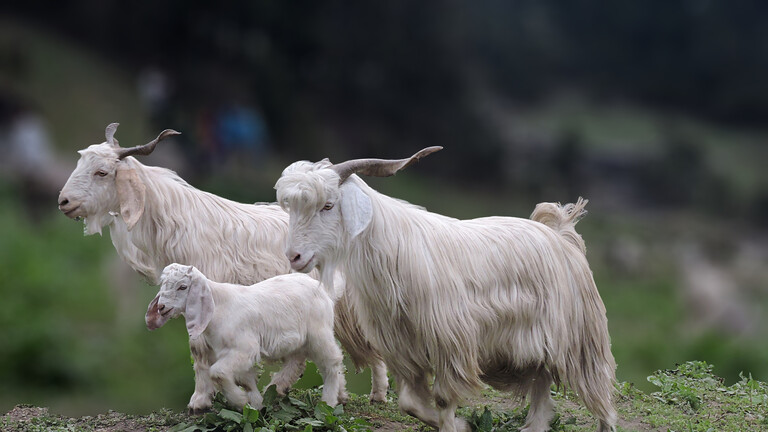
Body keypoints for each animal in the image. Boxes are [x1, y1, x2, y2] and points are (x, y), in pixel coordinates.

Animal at [276, 148, 616, 432]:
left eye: (328, 205)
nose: (294, 256)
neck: (392, 250)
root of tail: (561, 236)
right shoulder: (402, 348)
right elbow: (410, 403)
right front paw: (459, 424)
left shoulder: (451, 342)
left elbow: (442, 397)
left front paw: (456, 426)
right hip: (535, 348)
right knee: (542, 392)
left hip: (582, 342)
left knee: (601, 398)